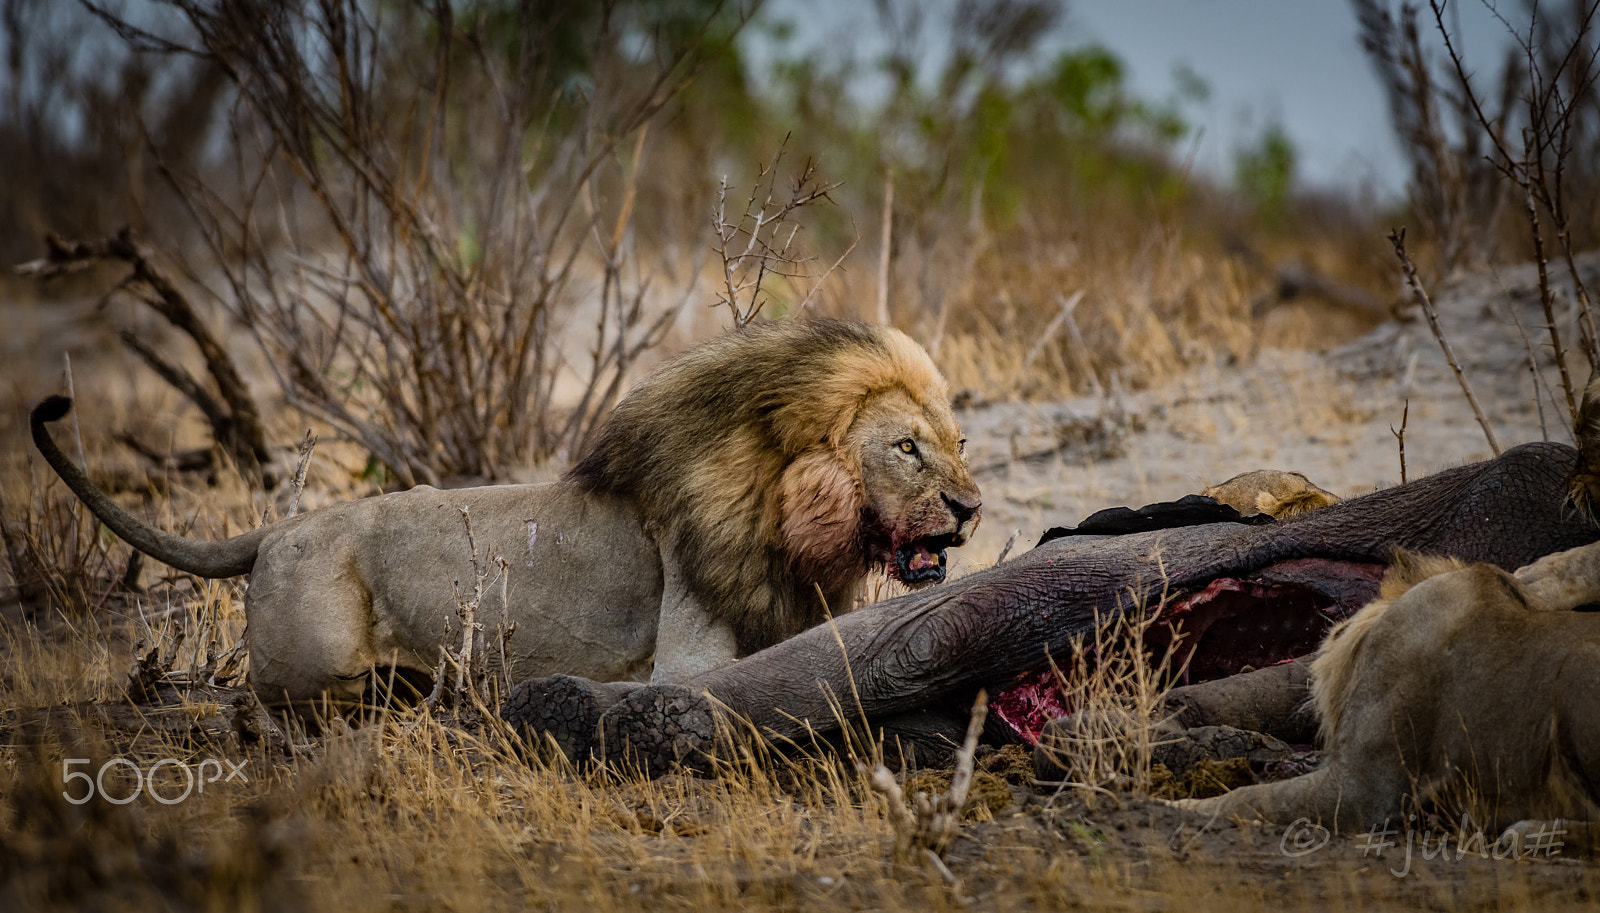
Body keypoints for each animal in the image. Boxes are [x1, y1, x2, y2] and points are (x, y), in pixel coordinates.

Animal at [28, 321, 972, 713]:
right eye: (906, 448)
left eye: (960, 441)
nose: (971, 507)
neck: (781, 512)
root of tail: (279, 531)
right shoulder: (687, 656)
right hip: (316, 657)